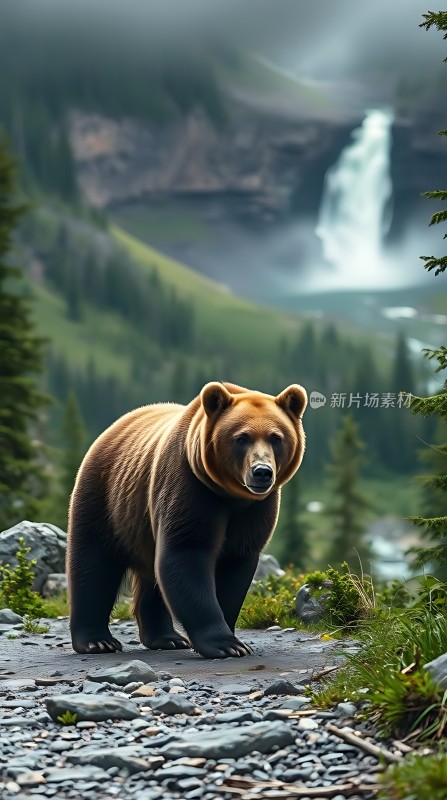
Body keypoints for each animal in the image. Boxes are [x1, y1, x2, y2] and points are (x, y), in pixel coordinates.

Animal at [67, 381, 307, 659]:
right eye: (242, 438)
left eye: (276, 438)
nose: (262, 472)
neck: (231, 496)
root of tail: (114, 427)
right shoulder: (189, 486)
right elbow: (186, 552)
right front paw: (225, 643)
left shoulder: (256, 511)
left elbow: (235, 566)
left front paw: (231, 635)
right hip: (105, 497)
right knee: (93, 563)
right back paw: (97, 641)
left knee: (150, 576)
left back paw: (166, 638)